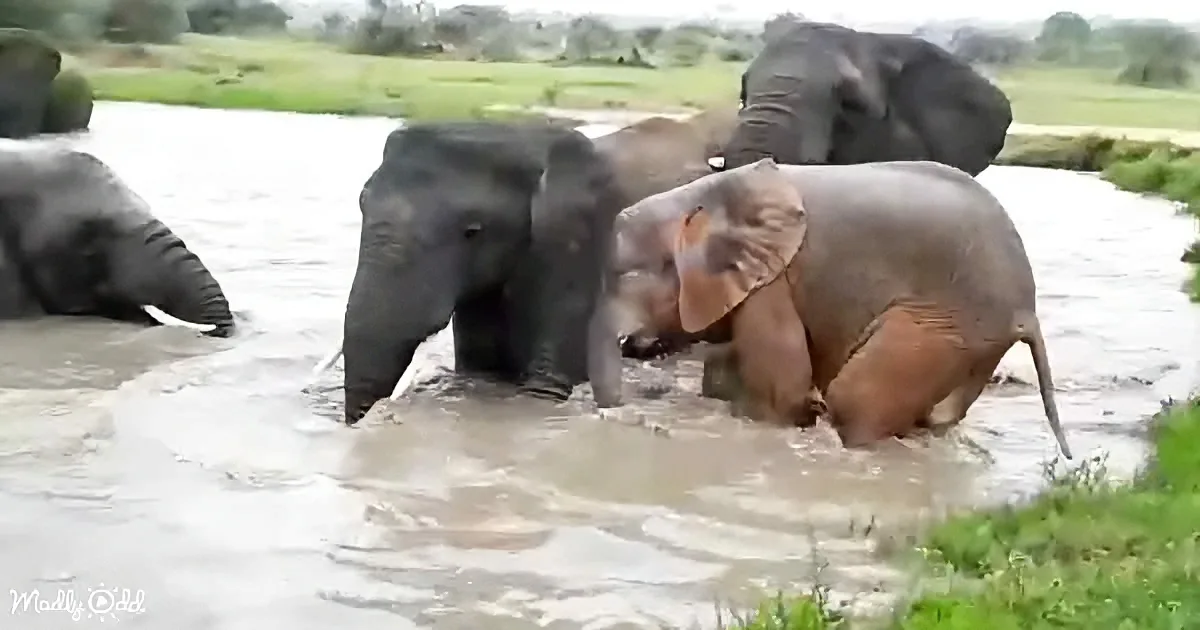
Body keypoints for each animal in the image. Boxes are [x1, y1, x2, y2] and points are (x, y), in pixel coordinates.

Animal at [606, 157, 1073, 459]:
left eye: (624, 275)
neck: (699, 199)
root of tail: (1027, 309)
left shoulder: (775, 281)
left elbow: (782, 393)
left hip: (944, 324)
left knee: (854, 402)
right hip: (976, 341)